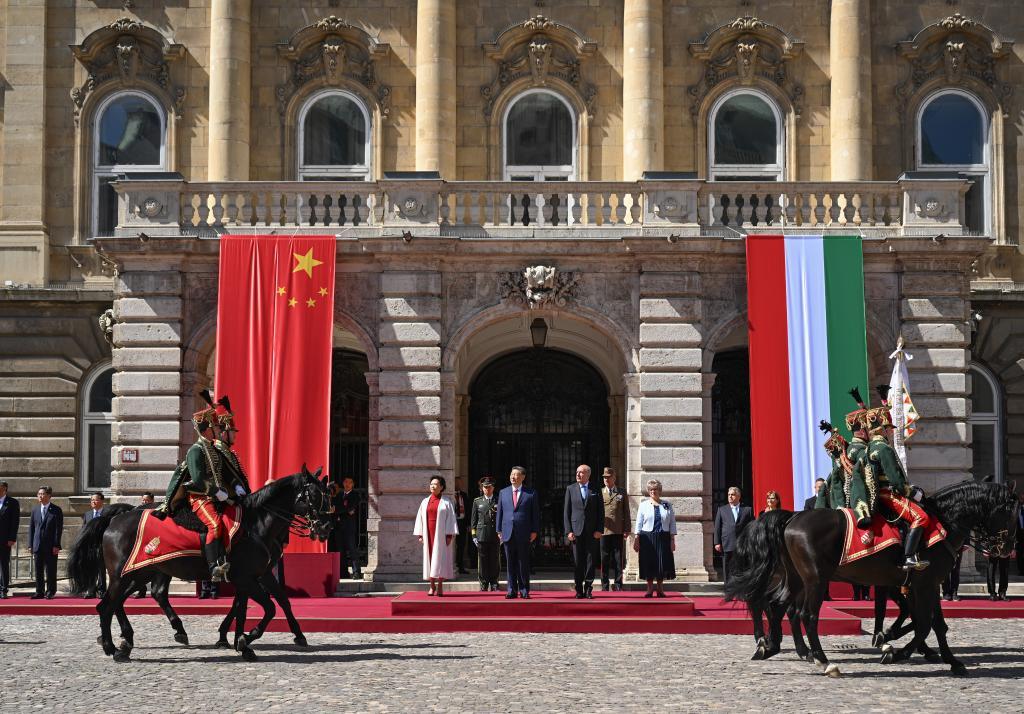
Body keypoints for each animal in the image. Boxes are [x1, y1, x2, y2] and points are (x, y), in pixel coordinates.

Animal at [68, 467, 329, 663]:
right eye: (315, 496)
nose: (325, 527)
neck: (256, 524)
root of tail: (115, 518)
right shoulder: (246, 577)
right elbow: (268, 607)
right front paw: (244, 638)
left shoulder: (259, 574)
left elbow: (269, 603)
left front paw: (242, 641)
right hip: (126, 575)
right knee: (108, 605)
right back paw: (114, 647)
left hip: (141, 572)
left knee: (123, 601)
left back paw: (130, 640)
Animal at [729, 479, 1015, 672]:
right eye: (1010, 511)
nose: (1007, 549)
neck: (943, 522)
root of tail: (791, 519)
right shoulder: (922, 584)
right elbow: (922, 622)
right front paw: (895, 649)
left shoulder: (924, 584)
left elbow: (935, 623)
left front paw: (951, 660)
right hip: (815, 580)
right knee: (800, 613)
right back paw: (818, 658)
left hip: (797, 579)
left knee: (779, 606)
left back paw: (777, 647)